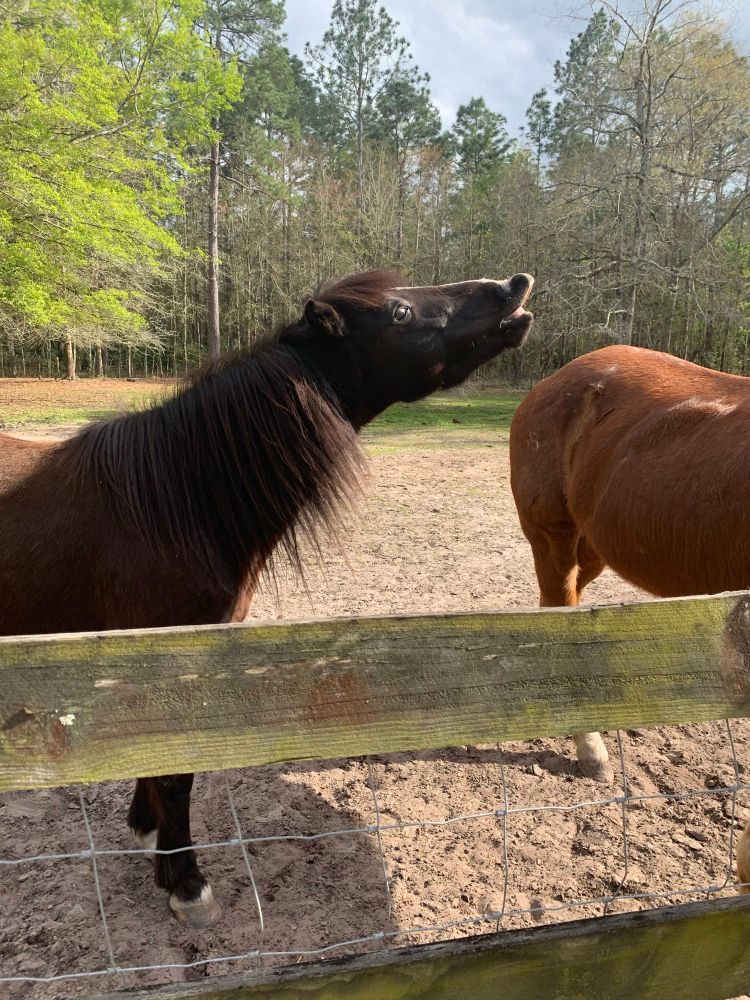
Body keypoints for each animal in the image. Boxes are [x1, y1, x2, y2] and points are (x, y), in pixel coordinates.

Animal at [1, 269, 534, 927]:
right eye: (401, 312)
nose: (512, 286)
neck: (175, 502)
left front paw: (148, 835)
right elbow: (175, 773)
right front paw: (187, 885)